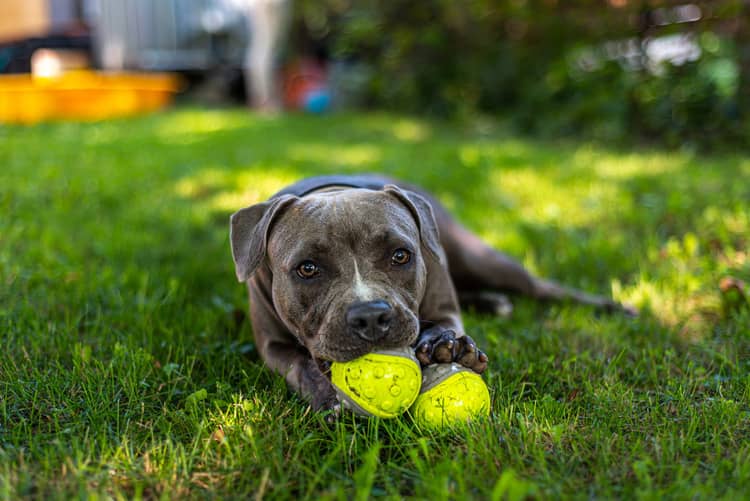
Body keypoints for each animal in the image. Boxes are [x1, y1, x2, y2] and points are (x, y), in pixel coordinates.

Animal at [231, 175, 636, 410]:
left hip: (480, 258)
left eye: (401, 255)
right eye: (308, 268)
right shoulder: (271, 345)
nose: (371, 315)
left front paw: (449, 345)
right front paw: (326, 394)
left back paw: (615, 308)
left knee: (542, 288)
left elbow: (448, 320)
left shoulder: (441, 297)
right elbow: (299, 365)